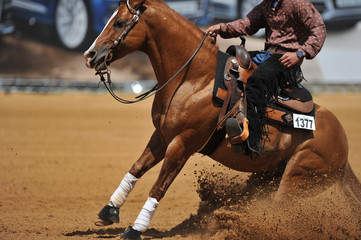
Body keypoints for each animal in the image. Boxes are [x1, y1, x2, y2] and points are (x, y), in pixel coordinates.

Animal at [83, 0, 358, 238]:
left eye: (119, 23)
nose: (89, 54)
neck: (195, 78)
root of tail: (343, 147)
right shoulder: (161, 136)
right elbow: (136, 169)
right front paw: (109, 211)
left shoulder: (182, 144)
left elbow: (159, 187)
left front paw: (135, 229)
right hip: (268, 176)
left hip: (298, 175)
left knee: (279, 210)